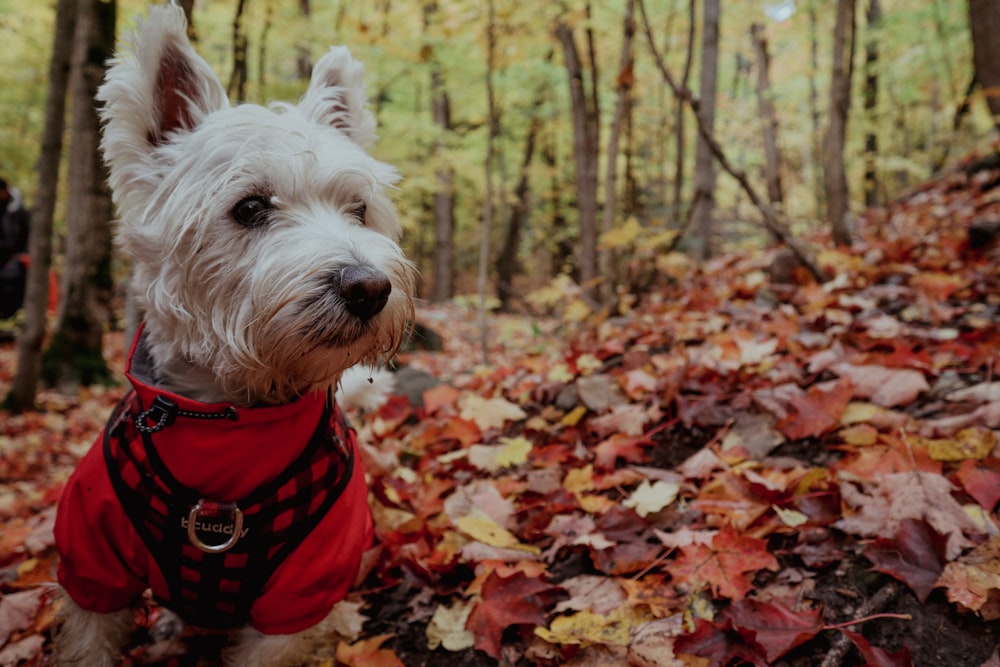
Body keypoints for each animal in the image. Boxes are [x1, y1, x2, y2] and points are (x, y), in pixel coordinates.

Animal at [53, 5, 414, 667]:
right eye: (250, 208)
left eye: (358, 210)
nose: (369, 287)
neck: (228, 432)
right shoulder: (92, 561)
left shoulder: (303, 588)